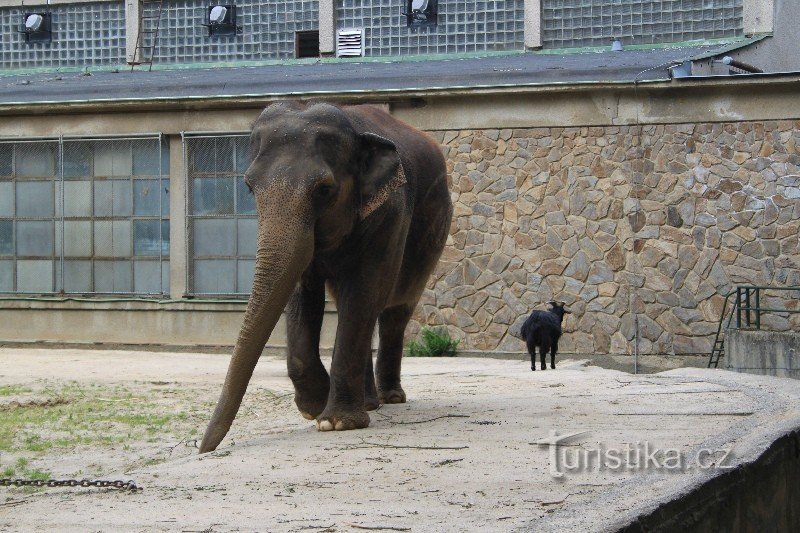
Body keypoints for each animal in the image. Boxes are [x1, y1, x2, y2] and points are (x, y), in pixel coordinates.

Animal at [198, 101, 450, 454]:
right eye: (248, 187)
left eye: (324, 189)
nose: (203, 448)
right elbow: (303, 292)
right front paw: (314, 407)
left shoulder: (390, 212)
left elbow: (363, 290)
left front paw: (337, 423)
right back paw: (370, 403)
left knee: (393, 311)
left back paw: (390, 398)